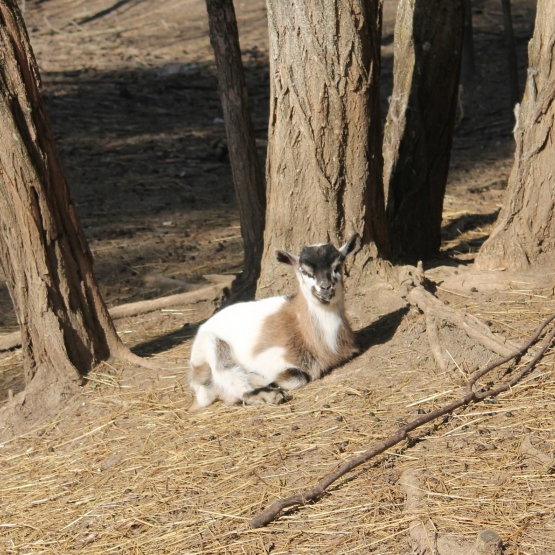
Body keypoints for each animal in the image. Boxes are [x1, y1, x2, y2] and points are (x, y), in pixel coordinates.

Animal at [189, 232, 362, 410]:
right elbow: (298, 376)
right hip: (210, 345)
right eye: (305, 271)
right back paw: (266, 394)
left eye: (337, 267)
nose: (326, 288)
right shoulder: (270, 358)